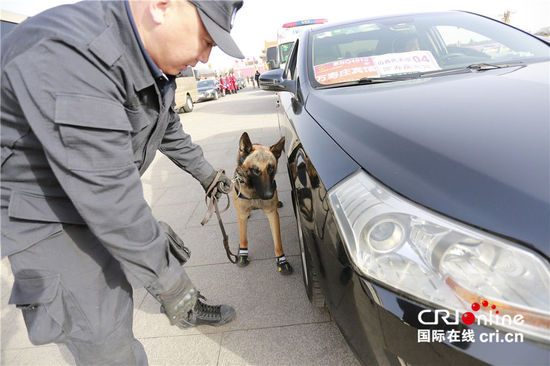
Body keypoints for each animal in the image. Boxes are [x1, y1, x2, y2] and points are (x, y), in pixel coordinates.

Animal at [233, 132, 294, 274]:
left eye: (271, 169)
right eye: (255, 170)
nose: (269, 195)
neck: (254, 193)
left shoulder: (272, 214)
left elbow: (278, 242)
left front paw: (281, 260)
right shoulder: (242, 215)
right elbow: (243, 237)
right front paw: (243, 254)